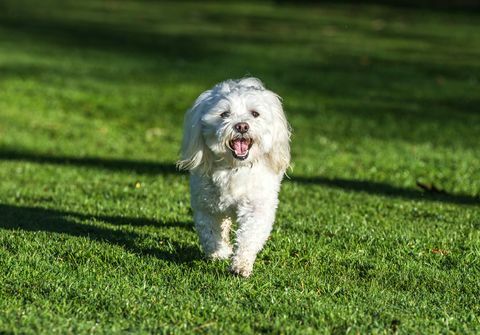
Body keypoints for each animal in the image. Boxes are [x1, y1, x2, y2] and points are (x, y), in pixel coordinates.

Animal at [176, 79, 288, 278]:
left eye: (255, 113)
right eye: (224, 114)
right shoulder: (206, 205)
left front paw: (241, 265)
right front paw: (220, 253)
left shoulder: (257, 206)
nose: (242, 126)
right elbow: (210, 233)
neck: (234, 168)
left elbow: (249, 235)